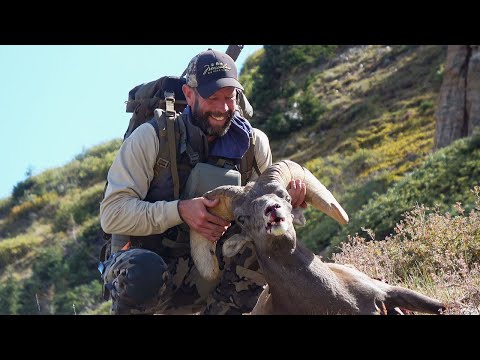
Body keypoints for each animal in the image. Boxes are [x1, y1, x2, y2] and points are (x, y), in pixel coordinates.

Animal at [189, 160, 444, 316]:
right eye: (241, 218)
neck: (334, 296)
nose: (272, 210)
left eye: (284, 196)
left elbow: (441, 305)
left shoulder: (390, 292)